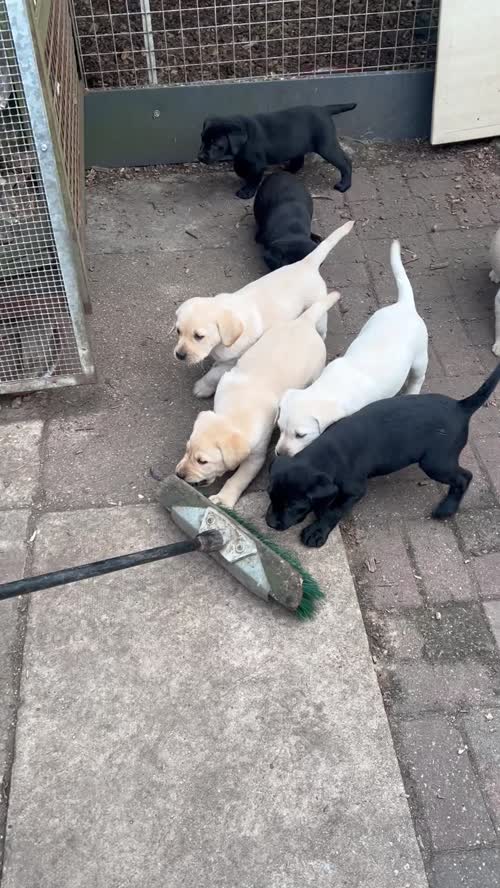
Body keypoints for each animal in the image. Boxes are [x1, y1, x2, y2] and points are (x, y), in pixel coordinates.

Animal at [174, 220, 354, 398]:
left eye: (199, 336)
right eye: (178, 331)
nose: (179, 355)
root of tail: (306, 263)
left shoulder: (234, 361)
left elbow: (214, 375)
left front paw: (203, 387)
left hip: (318, 309)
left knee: (322, 328)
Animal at [176, 292, 340, 510]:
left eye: (202, 461)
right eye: (187, 450)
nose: (179, 474)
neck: (238, 409)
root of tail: (304, 321)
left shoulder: (256, 455)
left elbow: (239, 478)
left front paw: (224, 498)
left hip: (316, 371)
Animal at [198, 103, 356, 199]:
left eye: (215, 143)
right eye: (203, 139)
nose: (200, 157)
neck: (245, 135)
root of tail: (323, 109)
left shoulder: (257, 164)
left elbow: (254, 178)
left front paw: (247, 191)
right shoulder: (243, 157)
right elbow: (239, 167)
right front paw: (242, 175)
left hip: (326, 147)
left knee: (346, 163)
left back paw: (344, 185)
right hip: (299, 145)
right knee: (298, 160)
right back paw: (290, 169)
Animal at [266, 366, 500, 548]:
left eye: (294, 505)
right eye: (270, 495)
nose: (270, 523)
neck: (324, 454)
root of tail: (460, 406)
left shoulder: (355, 489)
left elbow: (335, 510)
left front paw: (317, 531)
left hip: (436, 462)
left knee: (465, 477)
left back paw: (447, 508)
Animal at [276, 238, 428, 458]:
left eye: (300, 435)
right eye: (280, 428)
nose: (280, 453)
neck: (329, 389)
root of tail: (404, 305)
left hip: (420, 356)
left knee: (418, 376)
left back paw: (412, 392)